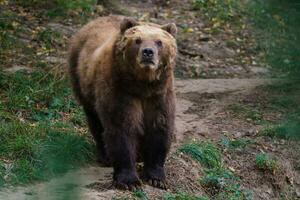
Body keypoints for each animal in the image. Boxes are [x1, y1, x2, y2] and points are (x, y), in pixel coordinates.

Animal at [68, 16, 176, 191]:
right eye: (138, 40)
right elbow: (122, 128)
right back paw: (105, 156)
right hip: (83, 82)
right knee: (96, 122)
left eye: (159, 42)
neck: (142, 85)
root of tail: (93, 21)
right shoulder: (120, 91)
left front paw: (157, 179)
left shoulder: (159, 95)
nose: (148, 52)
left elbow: (159, 127)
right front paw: (129, 181)